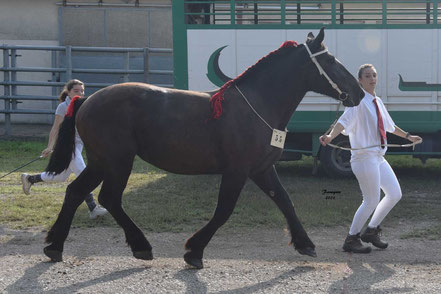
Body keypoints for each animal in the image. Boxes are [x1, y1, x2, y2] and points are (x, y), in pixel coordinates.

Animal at [44, 28, 362, 270]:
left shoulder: (261, 169)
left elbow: (285, 201)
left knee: (75, 191)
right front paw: (193, 251)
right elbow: (224, 211)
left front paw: (305, 244)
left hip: (101, 161)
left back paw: (54, 246)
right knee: (109, 198)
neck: (257, 106)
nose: (358, 92)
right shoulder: (237, 171)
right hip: (118, 160)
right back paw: (141, 246)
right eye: (330, 61)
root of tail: (87, 100)